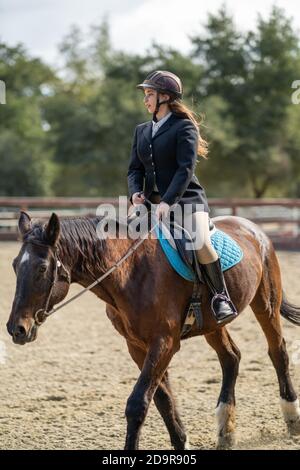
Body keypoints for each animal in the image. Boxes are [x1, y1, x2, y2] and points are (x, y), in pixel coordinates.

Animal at [6, 211, 300, 450]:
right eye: (14, 265)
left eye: (42, 268)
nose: (16, 329)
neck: (130, 273)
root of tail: (253, 228)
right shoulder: (137, 346)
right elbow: (163, 400)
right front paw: (182, 443)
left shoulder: (165, 343)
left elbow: (138, 403)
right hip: (213, 324)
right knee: (231, 358)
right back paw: (225, 430)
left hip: (266, 304)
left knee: (278, 351)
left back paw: (292, 418)